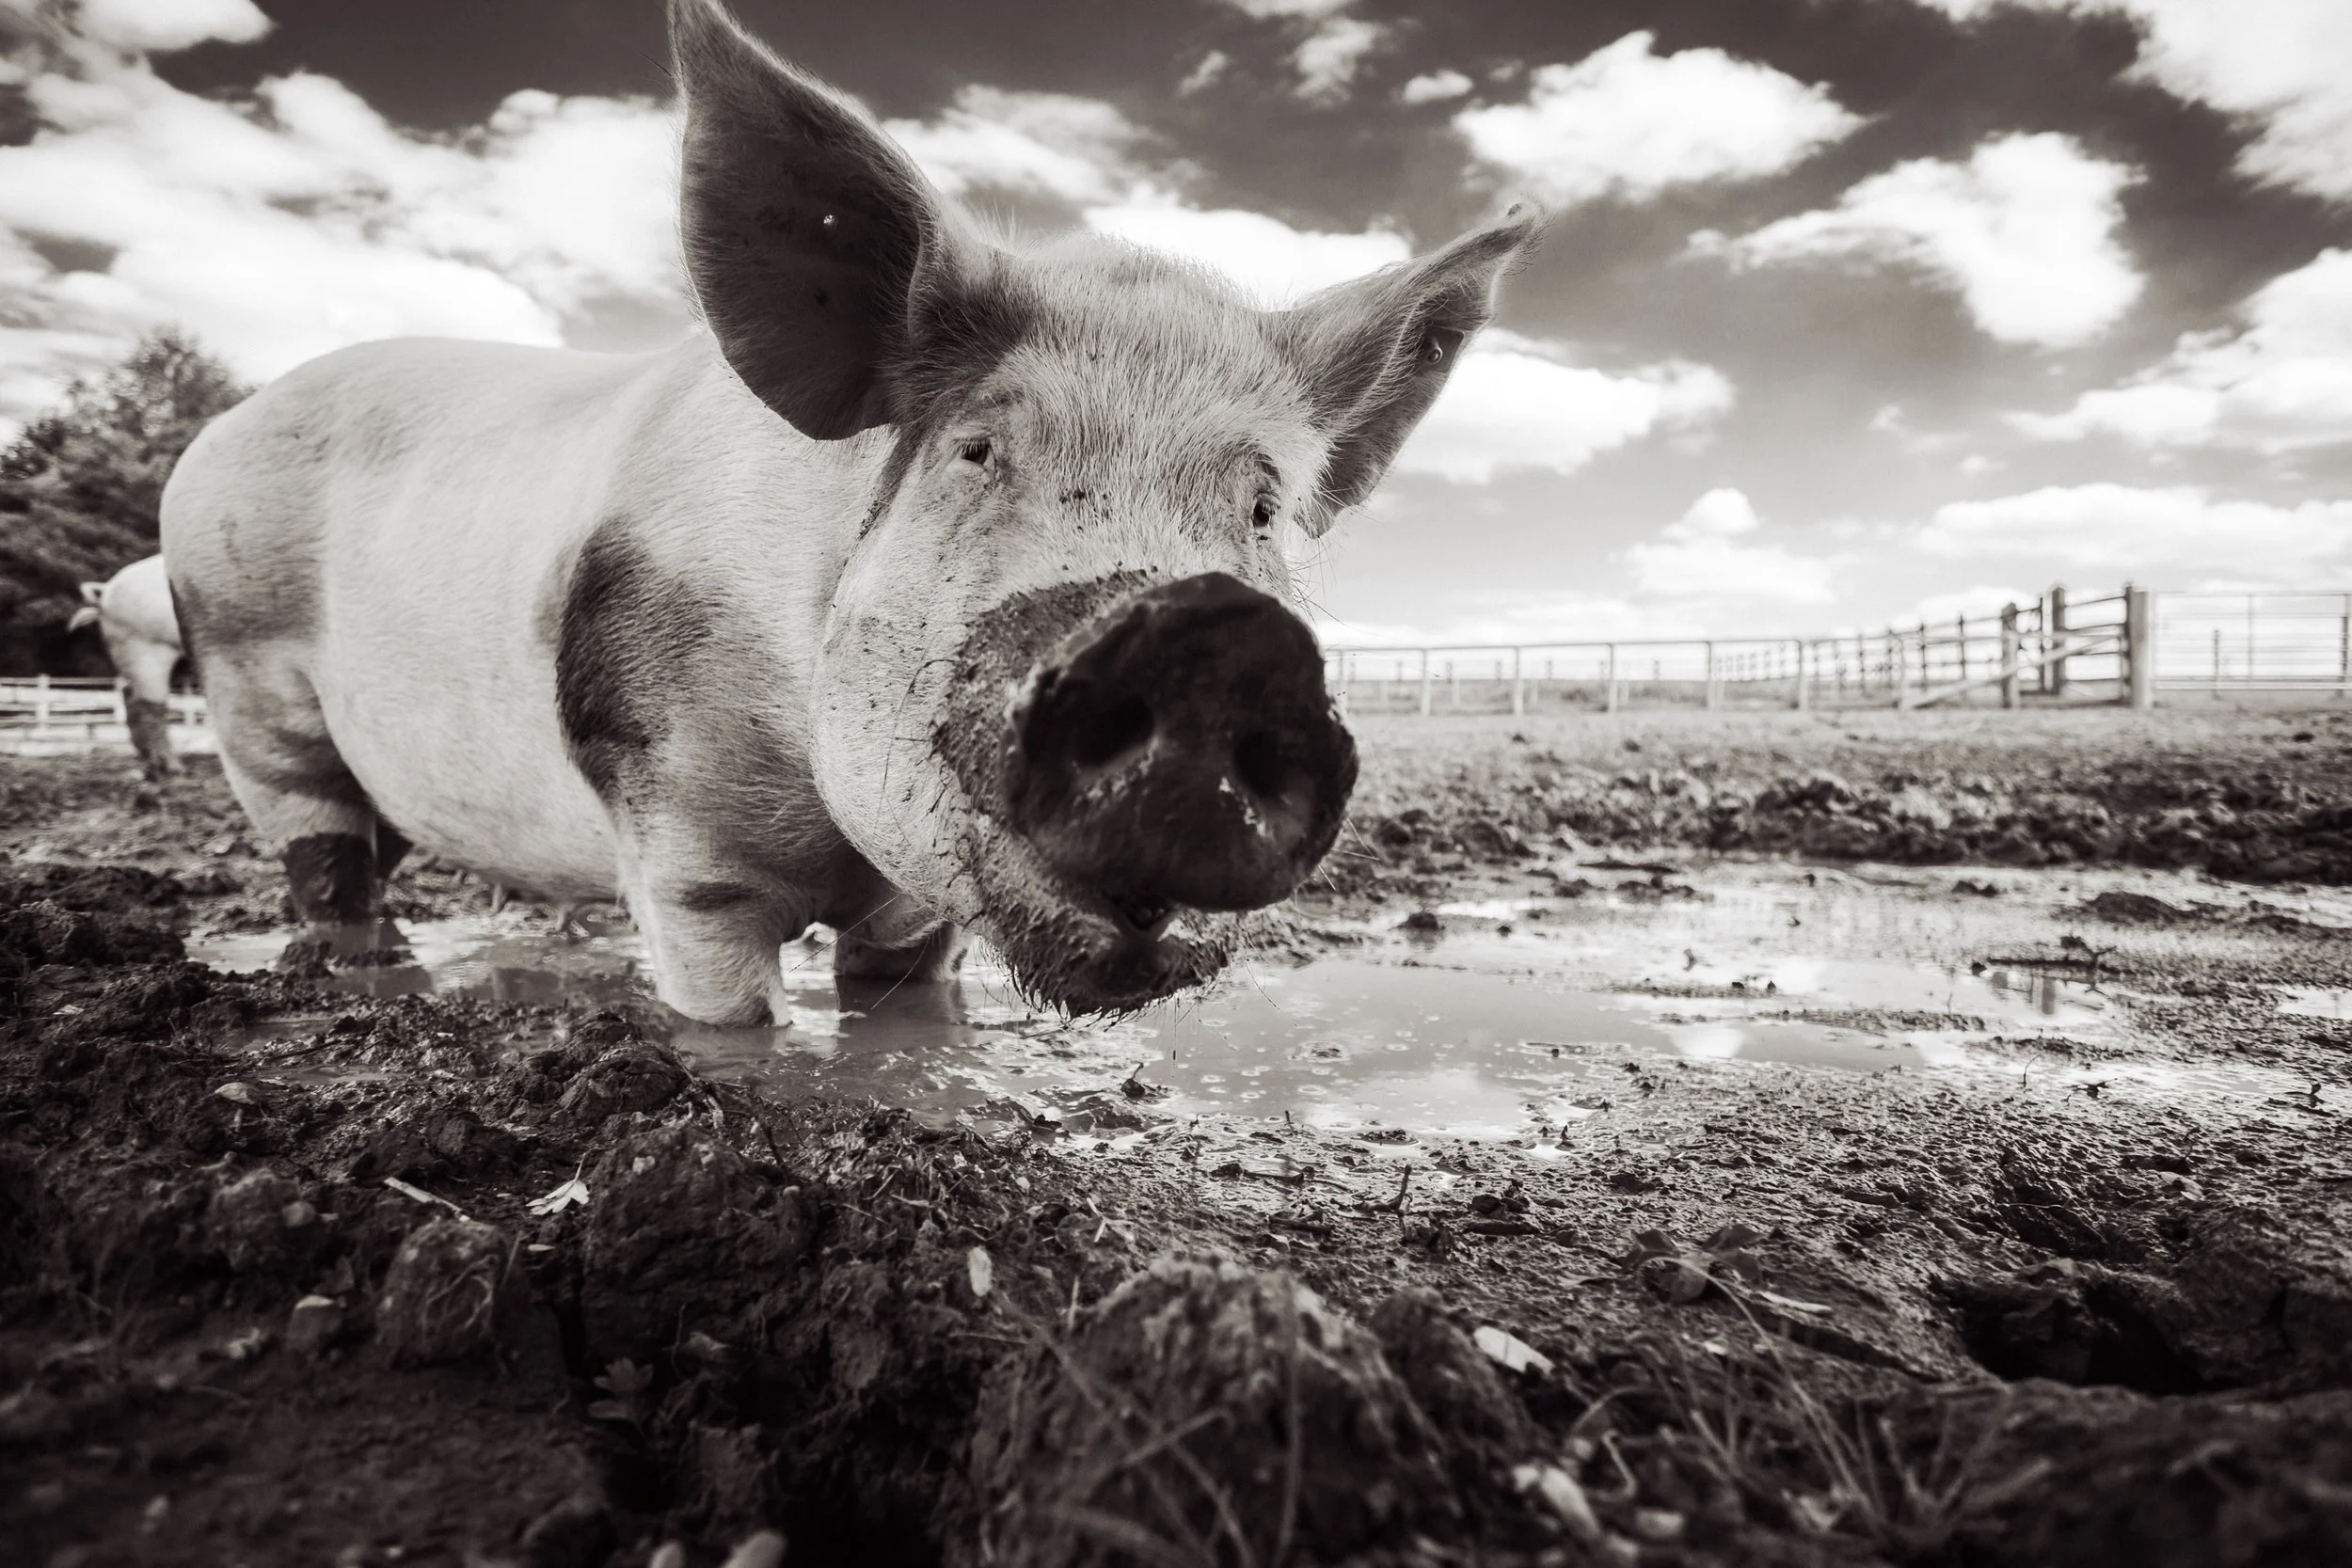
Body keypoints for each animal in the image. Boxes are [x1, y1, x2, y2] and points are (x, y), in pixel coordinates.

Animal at [68, 553, 185, 780]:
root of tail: (104, 594)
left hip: (129, 654)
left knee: (129, 694)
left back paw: (149, 762)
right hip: (148, 649)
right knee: (153, 705)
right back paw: (174, 769)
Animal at [159, 0, 1538, 1024]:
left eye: (1261, 506)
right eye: (977, 450)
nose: (1216, 635)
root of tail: (214, 433)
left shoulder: (916, 909)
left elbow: (903, 1016)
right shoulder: (682, 845)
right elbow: (734, 1018)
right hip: (247, 683)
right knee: (320, 852)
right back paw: (361, 978)